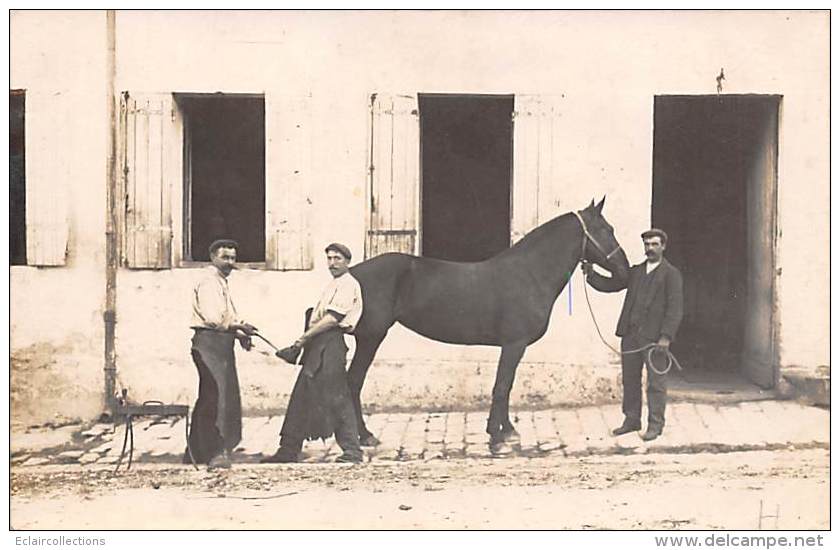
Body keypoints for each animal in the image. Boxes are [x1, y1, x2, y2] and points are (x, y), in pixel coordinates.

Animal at [344, 198, 628, 458]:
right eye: (606, 229)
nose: (624, 269)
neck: (529, 273)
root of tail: (350, 274)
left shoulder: (514, 346)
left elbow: (506, 385)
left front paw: (507, 431)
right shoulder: (514, 344)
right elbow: (501, 387)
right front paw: (496, 438)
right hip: (371, 337)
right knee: (354, 381)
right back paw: (365, 436)